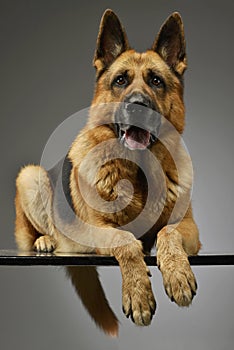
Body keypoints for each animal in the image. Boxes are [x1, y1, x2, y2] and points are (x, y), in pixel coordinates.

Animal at [14, 9, 201, 334]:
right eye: (120, 80)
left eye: (156, 81)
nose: (137, 105)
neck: (139, 170)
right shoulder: (98, 230)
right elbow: (125, 239)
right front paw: (138, 293)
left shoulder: (190, 229)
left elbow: (167, 231)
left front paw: (177, 274)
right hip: (30, 176)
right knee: (37, 231)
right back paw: (45, 240)